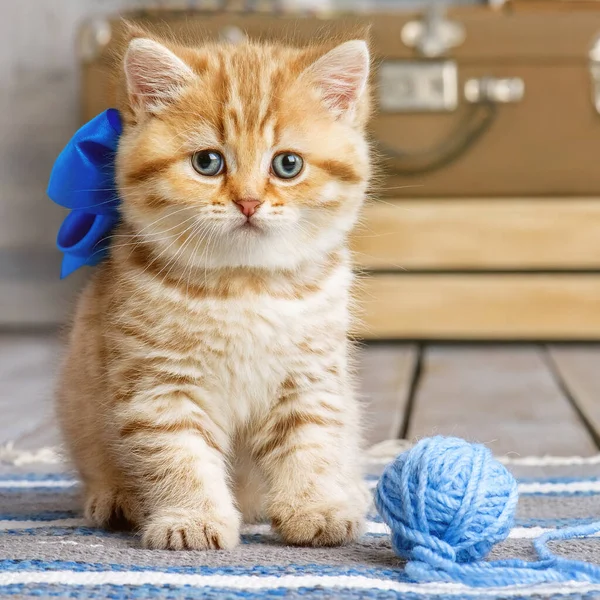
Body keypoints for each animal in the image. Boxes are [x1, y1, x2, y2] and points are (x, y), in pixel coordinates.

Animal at [58, 30, 372, 552]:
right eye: (208, 162)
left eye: (288, 164)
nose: (248, 201)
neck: (243, 286)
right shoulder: (160, 384)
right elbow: (179, 456)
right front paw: (194, 519)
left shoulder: (310, 379)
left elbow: (311, 443)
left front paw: (316, 508)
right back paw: (114, 498)